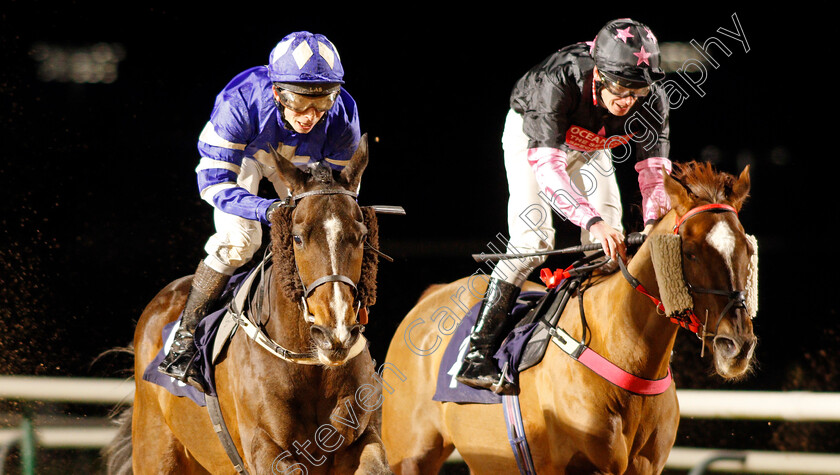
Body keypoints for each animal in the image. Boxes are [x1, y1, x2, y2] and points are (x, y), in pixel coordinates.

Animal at [106, 135, 394, 475]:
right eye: (297, 238)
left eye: (362, 237)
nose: (335, 333)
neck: (309, 363)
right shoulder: (264, 447)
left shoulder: (361, 436)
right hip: (156, 450)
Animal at [384, 162, 756, 474]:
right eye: (690, 252)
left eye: (748, 250)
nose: (737, 346)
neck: (625, 354)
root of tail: (432, 294)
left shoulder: (646, 466)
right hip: (411, 456)